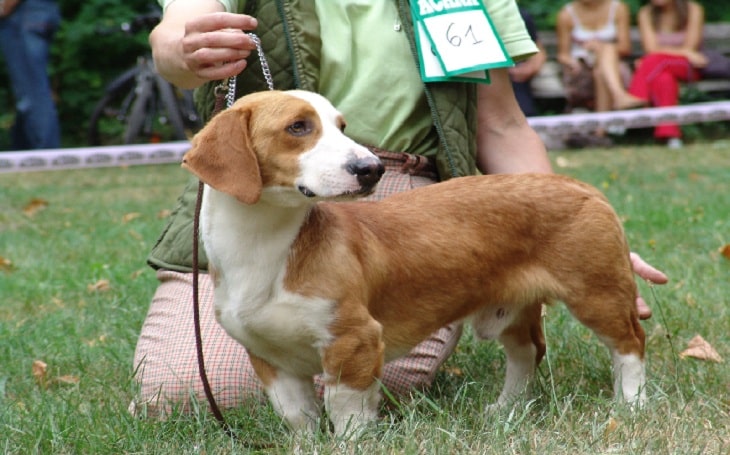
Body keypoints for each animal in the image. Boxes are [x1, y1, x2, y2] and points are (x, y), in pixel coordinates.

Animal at [181, 90, 644, 438]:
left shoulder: (355, 341)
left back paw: (630, 405)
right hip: (513, 311)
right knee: (527, 352)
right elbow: (299, 418)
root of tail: (580, 186)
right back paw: (505, 408)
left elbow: (346, 412)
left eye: (342, 126)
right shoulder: (269, 359)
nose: (370, 169)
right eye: (298, 126)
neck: (265, 246)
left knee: (630, 345)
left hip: (597, 294)